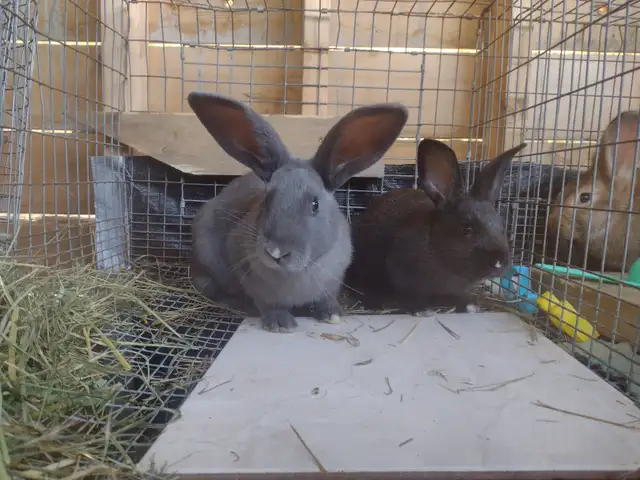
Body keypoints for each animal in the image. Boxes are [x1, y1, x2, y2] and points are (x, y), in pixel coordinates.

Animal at [187, 91, 408, 332]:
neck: (296, 274)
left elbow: (326, 299)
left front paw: (333, 314)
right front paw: (281, 323)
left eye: (315, 205)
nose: (276, 251)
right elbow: (266, 303)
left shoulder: (333, 281)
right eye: (267, 199)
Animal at [345, 138, 527, 314]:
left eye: (502, 226)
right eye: (466, 229)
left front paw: (469, 306)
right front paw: (421, 310)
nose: (499, 262)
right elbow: (410, 296)